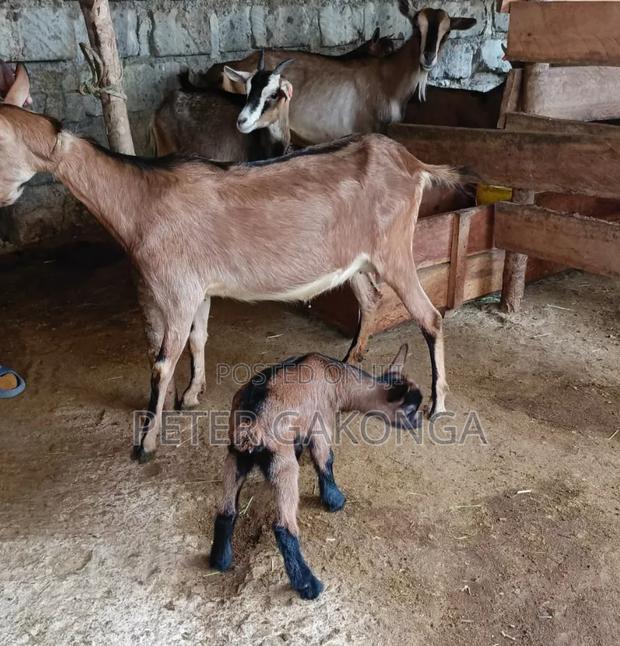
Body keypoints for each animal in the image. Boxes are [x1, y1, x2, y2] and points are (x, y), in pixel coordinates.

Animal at [210, 345, 420, 599]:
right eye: (410, 409)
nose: (420, 422)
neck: (336, 379)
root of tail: (250, 427)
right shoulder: (321, 422)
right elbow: (325, 459)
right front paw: (335, 500)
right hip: (282, 463)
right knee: (283, 527)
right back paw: (308, 584)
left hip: (235, 456)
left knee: (226, 510)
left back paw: (220, 560)